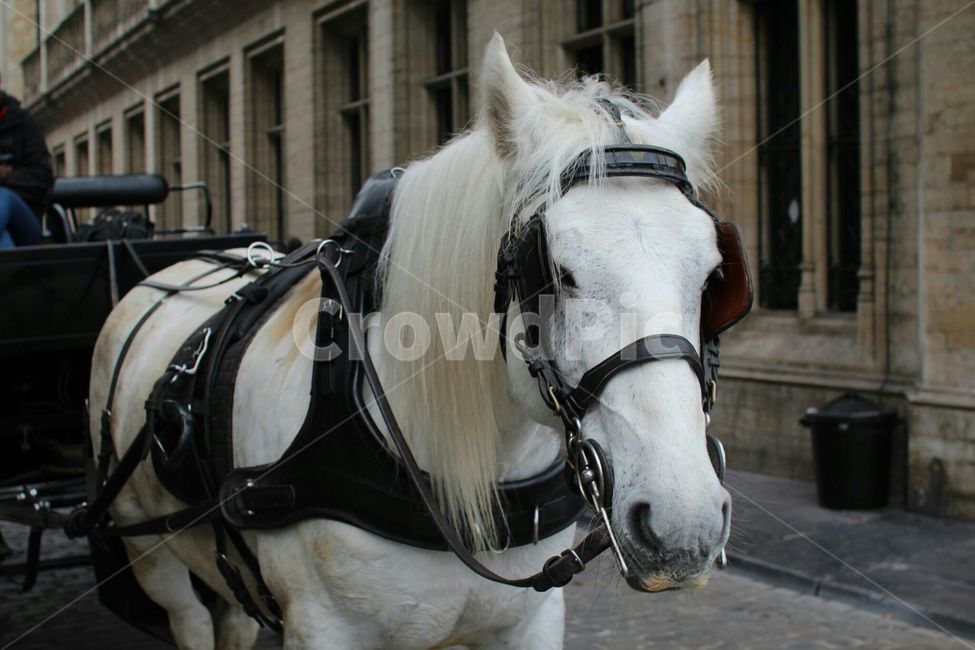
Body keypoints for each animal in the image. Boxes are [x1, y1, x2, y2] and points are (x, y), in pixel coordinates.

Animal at [89, 34, 737, 649]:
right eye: (555, 273)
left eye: (714, 276)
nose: (683, 526)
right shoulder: (323, 629)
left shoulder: (529, 624)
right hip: (146, 547)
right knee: (188, 617)